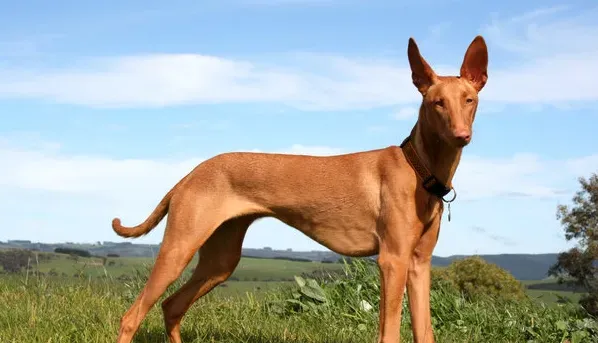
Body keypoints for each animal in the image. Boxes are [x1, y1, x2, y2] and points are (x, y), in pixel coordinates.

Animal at [111, 35, 488, 343]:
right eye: (437, 102)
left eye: (469, 100)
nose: (461, 135)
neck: (418, 167)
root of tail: (191, 174)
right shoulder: (392, 261)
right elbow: (390, 333)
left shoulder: (419, 264)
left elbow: (425, 331)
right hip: (178, 249)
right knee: (132, 316)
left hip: (220, 261)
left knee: (172, 306)